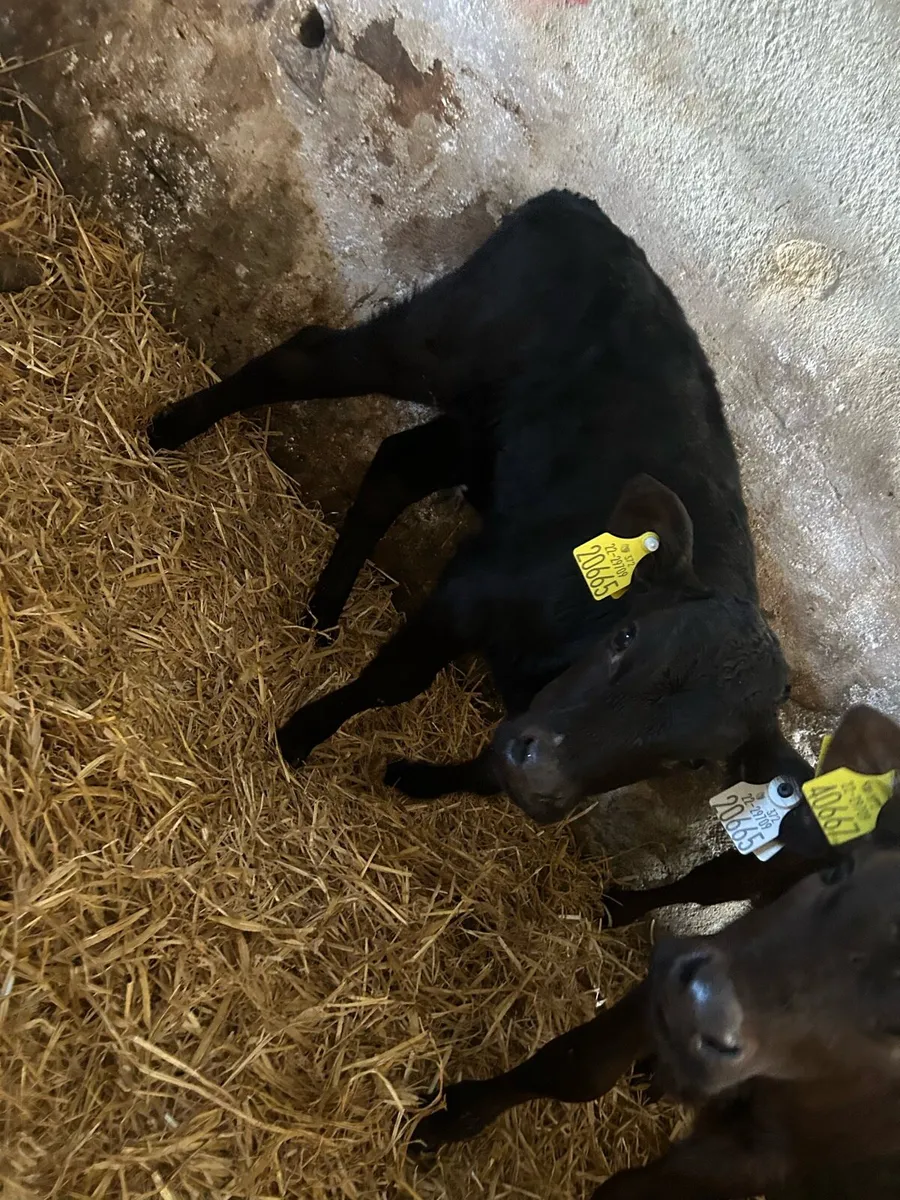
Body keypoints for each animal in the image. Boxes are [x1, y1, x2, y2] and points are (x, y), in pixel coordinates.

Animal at [147, 189, 807, 895]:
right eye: (626, 639)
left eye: (693, 761)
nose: (541, 773)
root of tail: (585, 209)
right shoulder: (476, 588)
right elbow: (395, 680)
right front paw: (300, 734)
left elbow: (491, 771)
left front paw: (415, 777)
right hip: (435, 342)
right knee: (306, 357)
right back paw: (173, 427)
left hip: (481, 431)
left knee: (396, 465)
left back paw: (323, 612)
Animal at [412, 704, 900, 1200]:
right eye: (838, 871)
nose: (699, 1004)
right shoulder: (671, 977)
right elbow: (578, 1069)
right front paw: (451, 1117)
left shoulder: (762, 1157)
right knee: (710, 882)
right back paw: (619, 910)